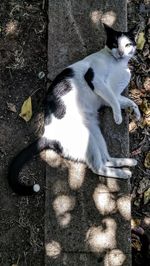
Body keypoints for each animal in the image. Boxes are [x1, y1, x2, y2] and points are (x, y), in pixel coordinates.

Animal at [7, 25, 141, 195]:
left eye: (127, 44)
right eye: (115, 44)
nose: (121, 53)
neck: (119, 65)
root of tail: (48, 135)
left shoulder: (110, 97)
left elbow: (125, 101)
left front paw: (137, 113)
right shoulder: (95, 80)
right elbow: (114, 100)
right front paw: (118, 117)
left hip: (95, 135)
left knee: (105, 160)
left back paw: (127, 162)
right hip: (87, 138)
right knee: (98, 167)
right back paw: (124, 173)